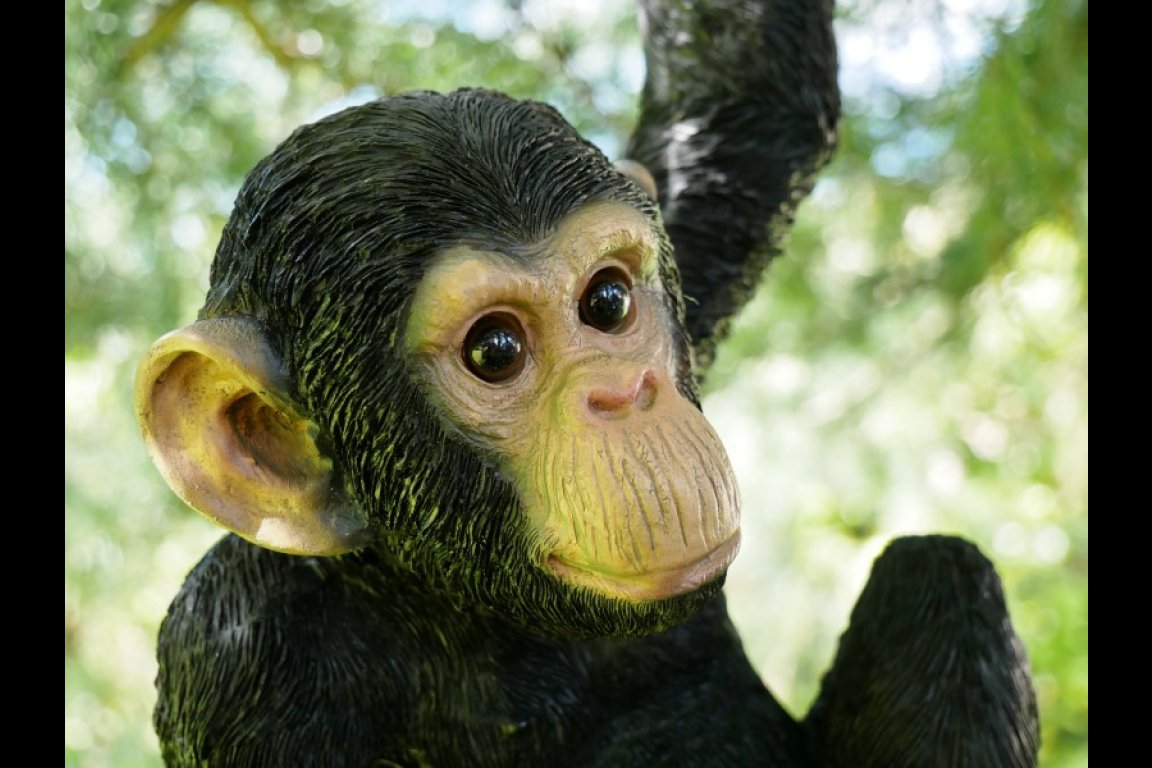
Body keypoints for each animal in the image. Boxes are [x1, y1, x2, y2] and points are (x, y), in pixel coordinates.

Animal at [134, 1, 1039, 766]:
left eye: (607, 300)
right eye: (495, 350)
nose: (626, 395)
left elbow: (747, 101)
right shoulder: (232, 653)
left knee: (938, 571)